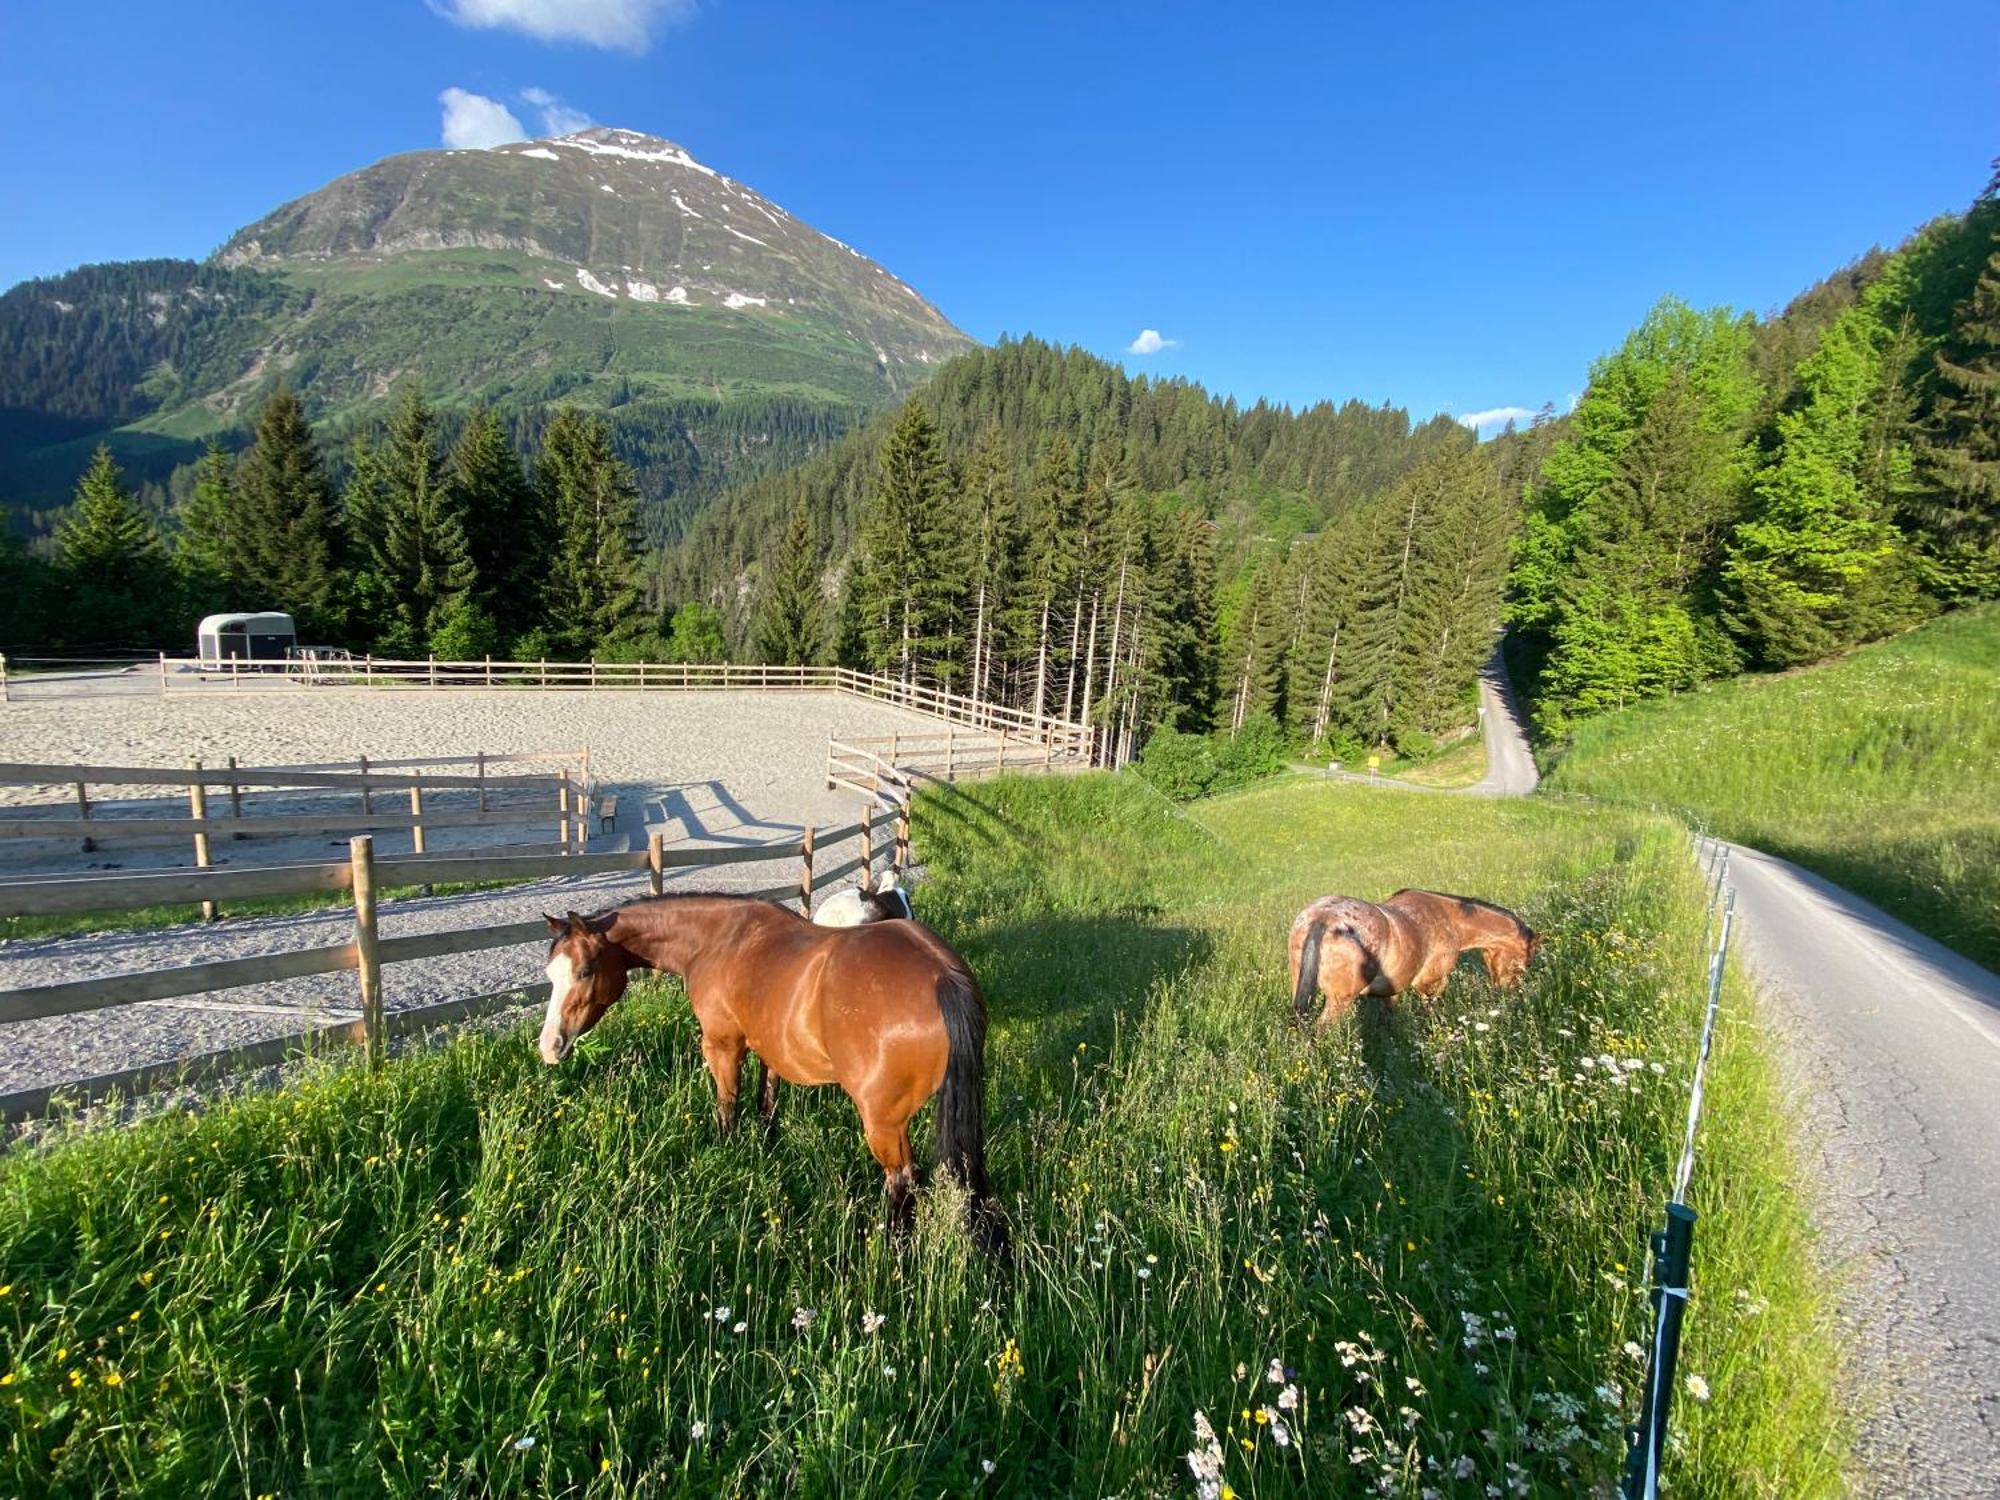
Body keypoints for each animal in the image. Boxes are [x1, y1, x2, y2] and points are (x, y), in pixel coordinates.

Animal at [540, 900, 1008, 1248]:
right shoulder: (770, 1050)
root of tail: (942, 976)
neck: (719, 939)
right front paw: (764, 1151)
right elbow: (766, 1105)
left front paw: (725, 1154)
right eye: (549, 974)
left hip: (883, 1125)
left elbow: (728, 1106)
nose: (549, 1045)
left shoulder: (722, 1046)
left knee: (902, 1182)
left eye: (584, 971)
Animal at [1288, 892, 1536, 1032]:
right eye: (1524, 963)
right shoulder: (1431, 982)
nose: (1511, 992)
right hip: (1339, 1002)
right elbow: (1430, 1007)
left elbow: (1387, 1018)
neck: (1451, 919)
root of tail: (1322, 918)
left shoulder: (1392, 990)